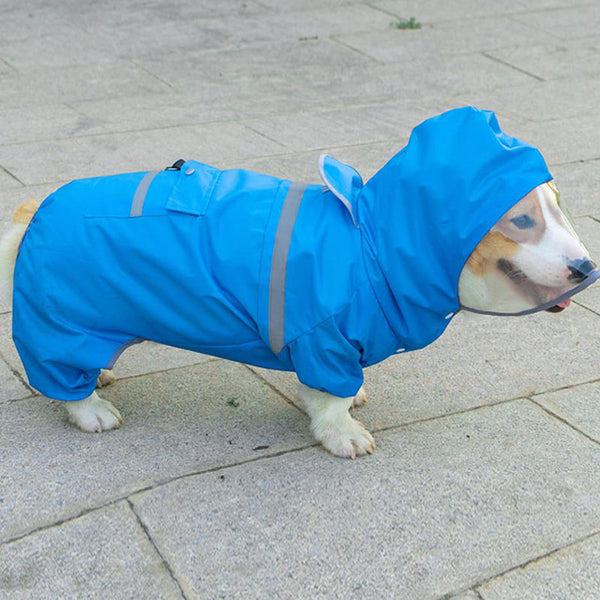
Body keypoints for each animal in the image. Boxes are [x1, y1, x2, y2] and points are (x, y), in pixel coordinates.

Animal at [0, 106, 596, 454]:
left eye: (559, 207)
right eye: (522, 221)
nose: (587, 268)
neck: (371, 247)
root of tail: (35, 211)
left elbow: (331, 390)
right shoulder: (323, 338)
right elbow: (329, 399)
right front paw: (343, 434)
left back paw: (100, 374)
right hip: (61, 322)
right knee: (58, 374)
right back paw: (90, 409)